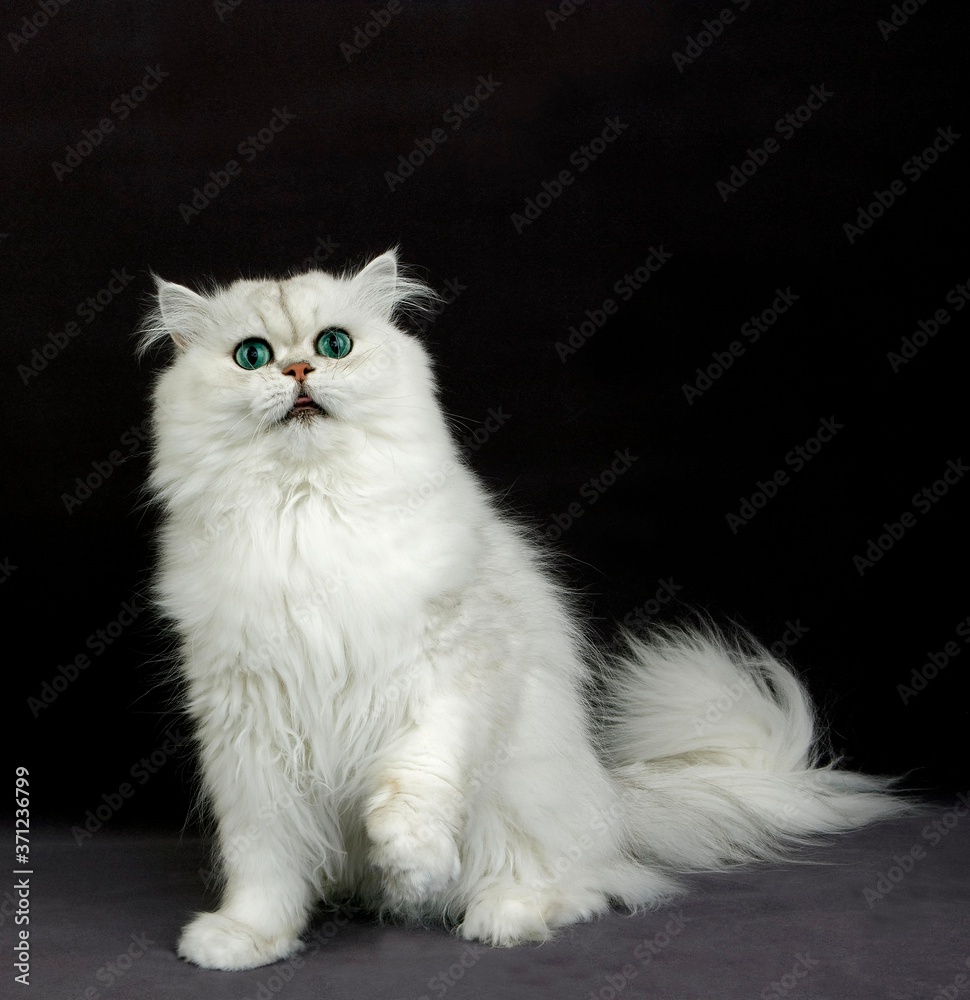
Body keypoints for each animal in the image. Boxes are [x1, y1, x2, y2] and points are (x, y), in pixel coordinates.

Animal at [140, 248, 904, 968]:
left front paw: (410, 862)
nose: (298, 370)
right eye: (252, 356)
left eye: (334, 345)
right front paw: (246, 939)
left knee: (582, 885)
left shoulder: (448, 670)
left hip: (521, 796)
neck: (308, 512)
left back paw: (501, 916)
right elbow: (263, 862)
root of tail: (612, 800)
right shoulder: (247, 730)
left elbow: (417, 779)